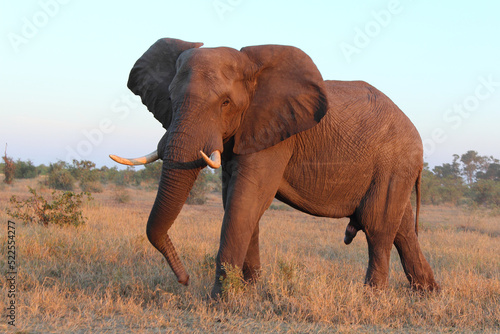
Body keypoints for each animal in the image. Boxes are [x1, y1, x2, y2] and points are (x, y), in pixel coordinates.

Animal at [109, 37, 438, 298]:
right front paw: (250, 291)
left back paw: (373, 297)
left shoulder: (274, 134)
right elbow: (238, 202)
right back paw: (428, 293)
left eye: (225, 103)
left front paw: (221, 301)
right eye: (170, 98)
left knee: (377, 226)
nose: (184, 279)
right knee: (402, 228)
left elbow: (247, 199)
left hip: (395, 162)